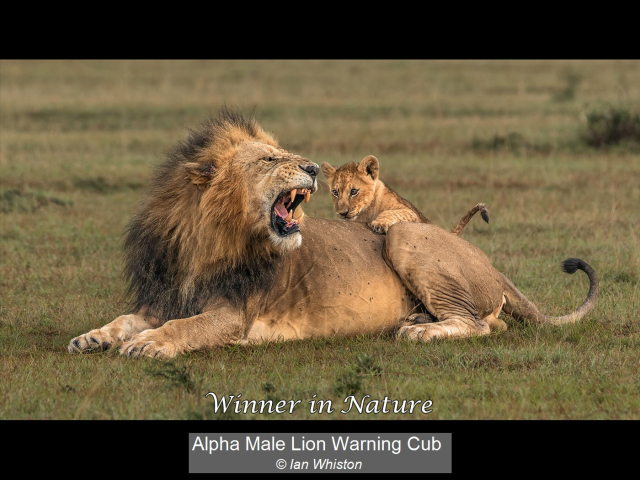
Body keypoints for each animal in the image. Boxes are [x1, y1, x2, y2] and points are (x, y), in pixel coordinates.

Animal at [321, 155, 489, 235]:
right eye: (335, 192)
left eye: (354, 191)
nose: (342, 213)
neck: (365, 212)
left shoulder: (410, 213)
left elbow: (391, 212)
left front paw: (379, 224)